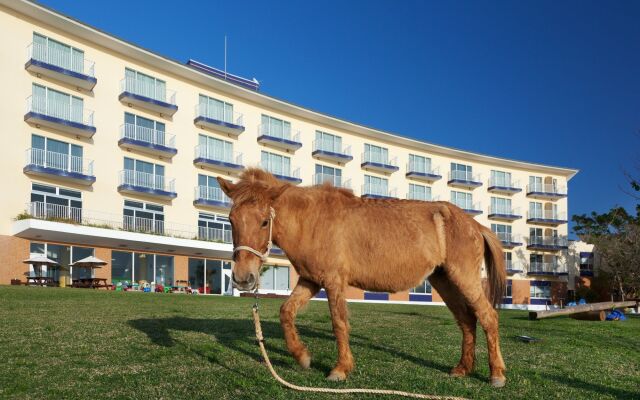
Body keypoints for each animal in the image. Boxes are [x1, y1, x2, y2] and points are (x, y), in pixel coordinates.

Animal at [218, 169, 508, 388]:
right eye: (231, 220)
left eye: (264, 222)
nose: (243, 278)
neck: (312, 221)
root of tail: (475, 225)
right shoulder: (310, 280)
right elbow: (286, 312)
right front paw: (302, 357)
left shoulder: (333, 282)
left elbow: (339, 323)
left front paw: (340, 369)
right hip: (444, 280)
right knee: (467, 320)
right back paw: (462, 368)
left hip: (464, 278)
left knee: (487, 317)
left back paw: (496, 374)